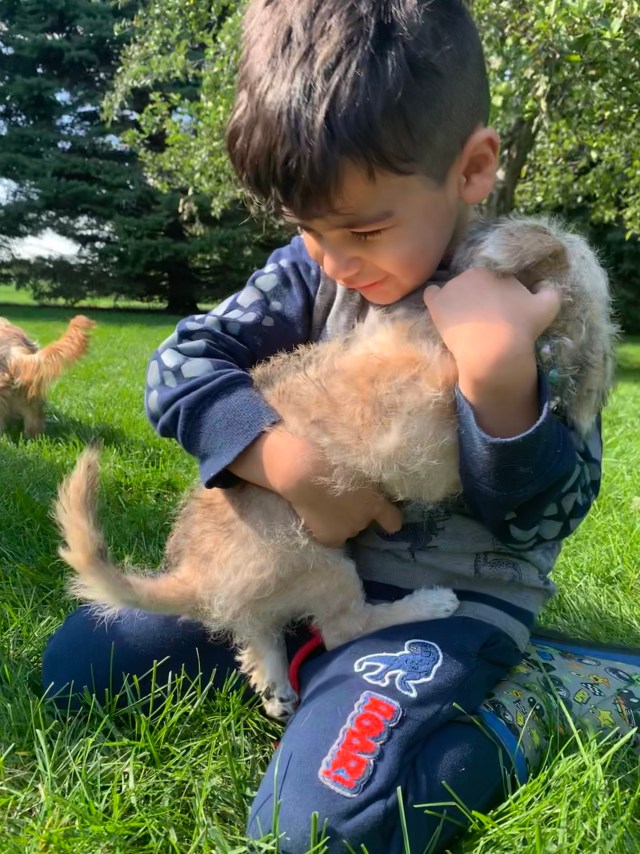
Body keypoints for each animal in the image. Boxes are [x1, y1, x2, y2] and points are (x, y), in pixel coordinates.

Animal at [55, 217, 617, 718]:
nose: (586, 408)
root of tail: (196, 576)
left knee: (258, 633)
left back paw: (276, 687)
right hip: (327, 568)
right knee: (342, 628)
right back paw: (426, 605)